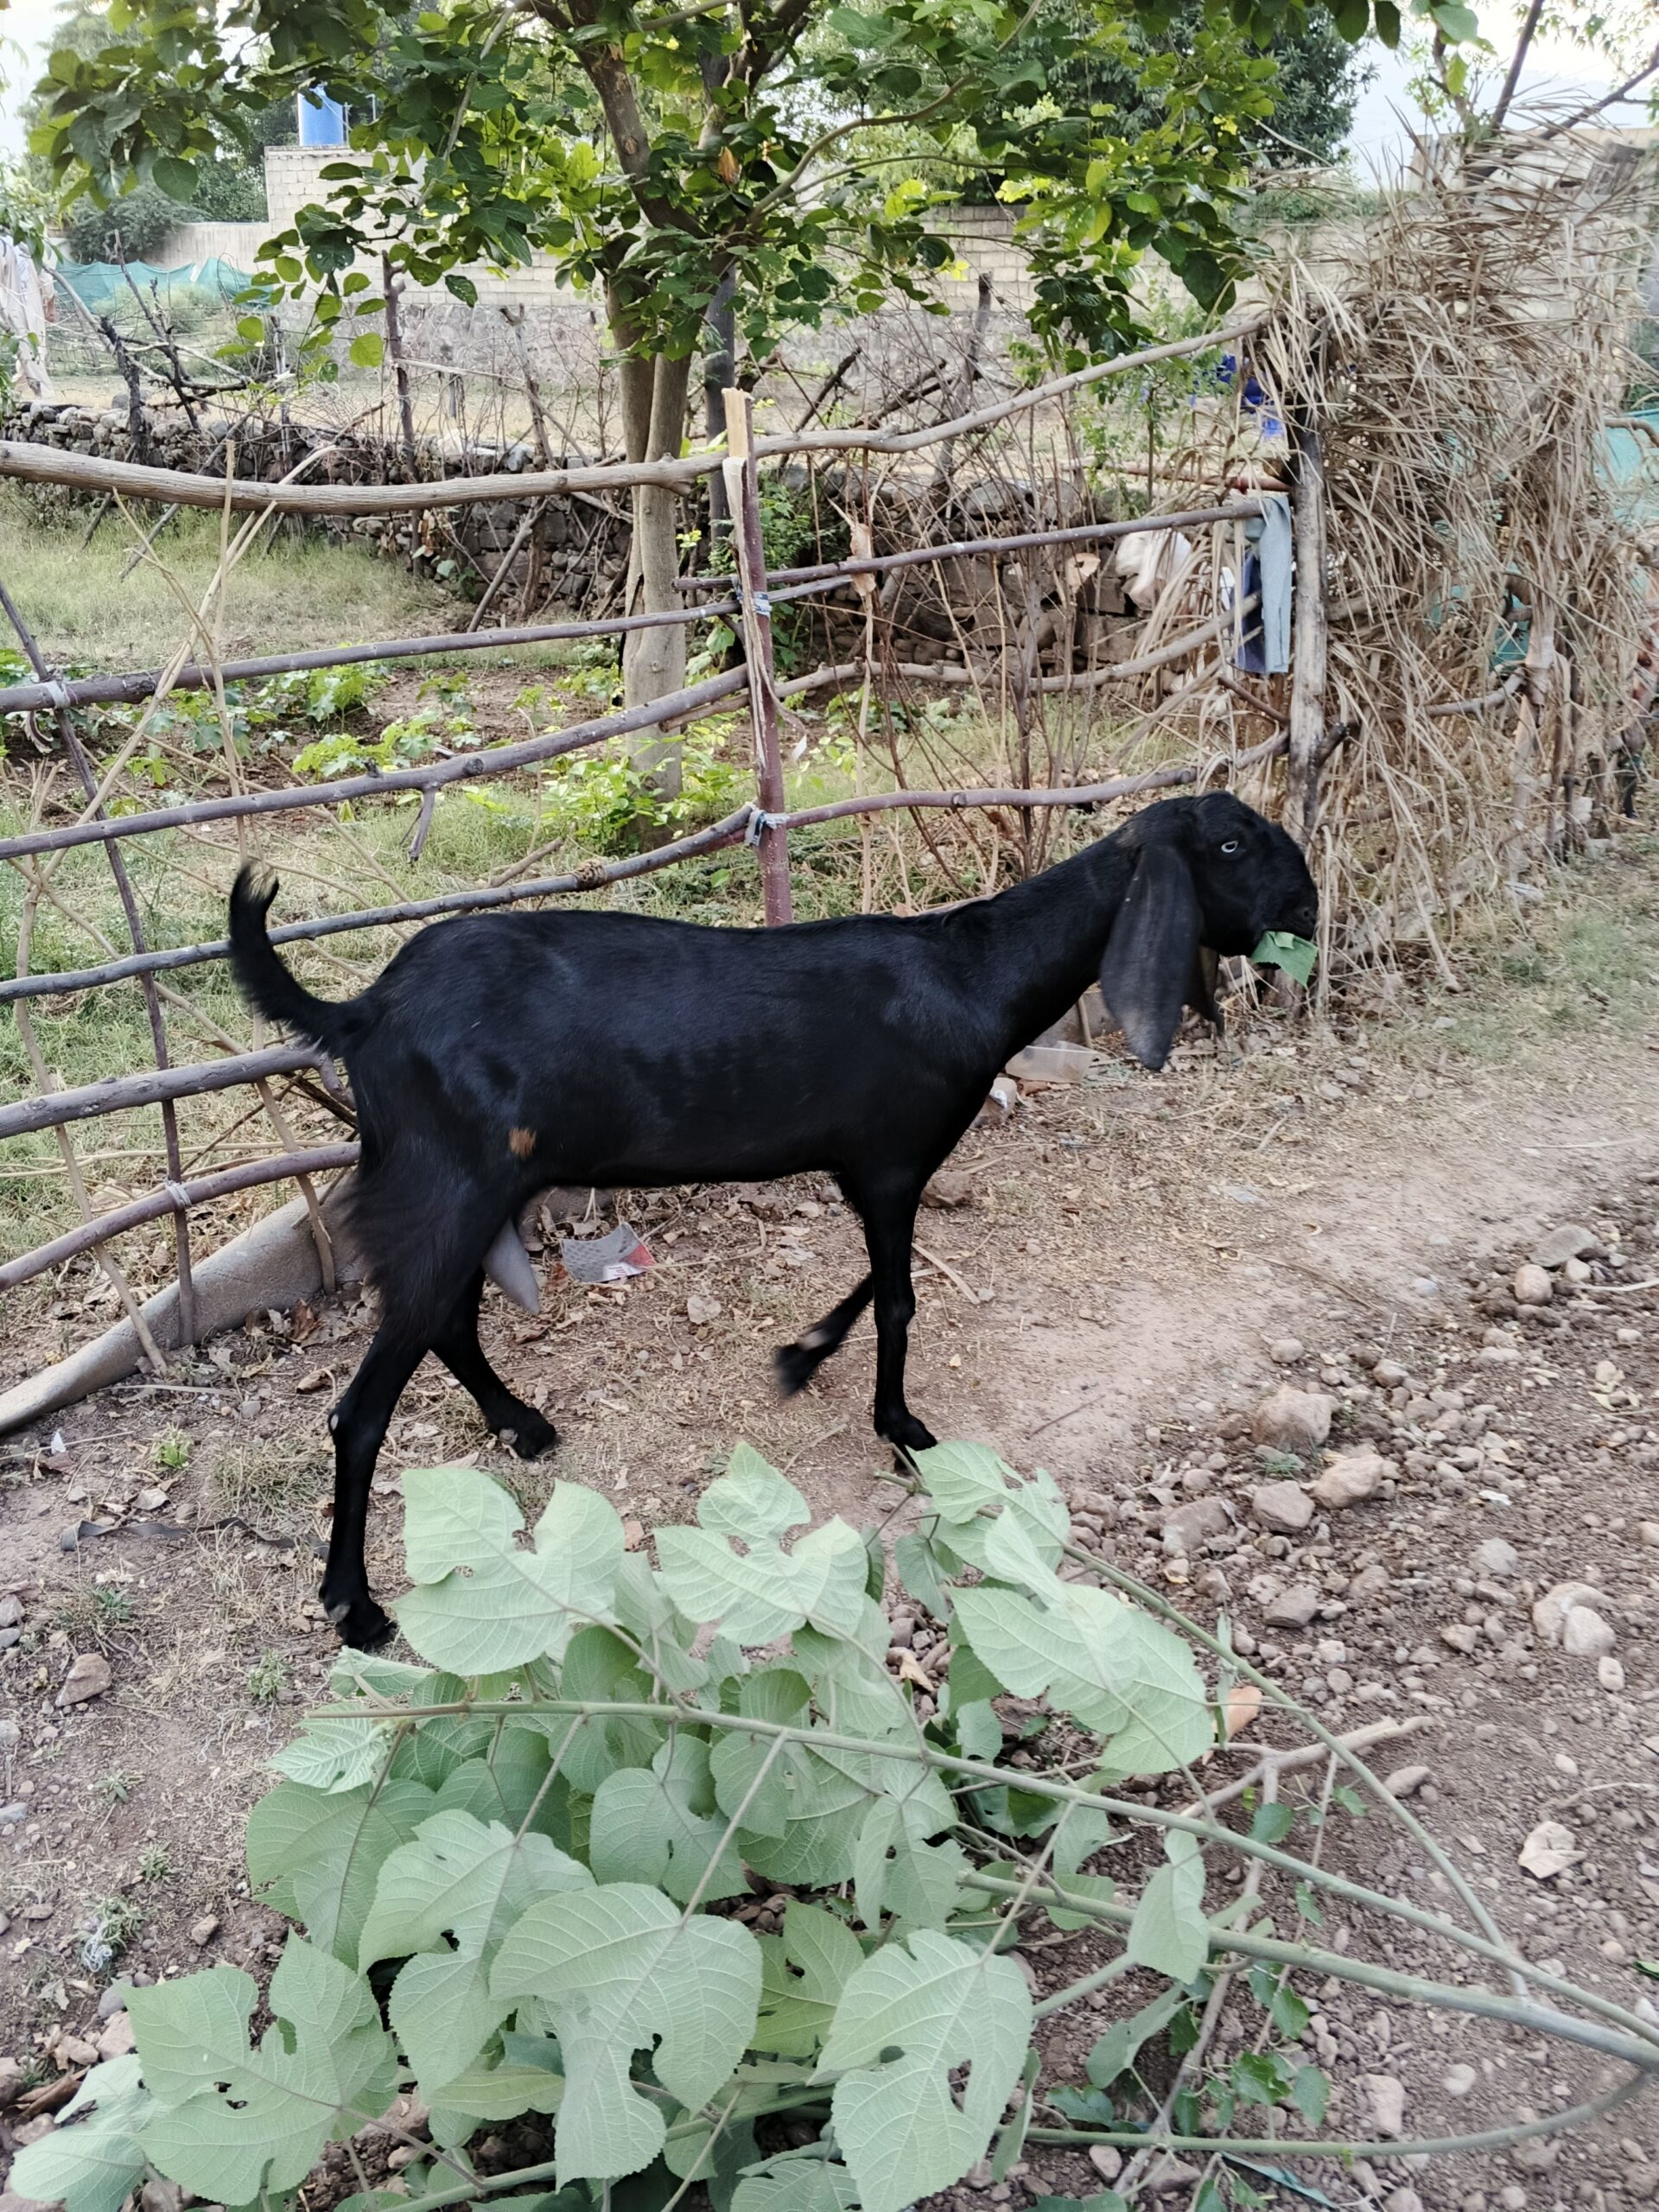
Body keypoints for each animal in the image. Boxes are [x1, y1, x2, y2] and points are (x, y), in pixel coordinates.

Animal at [229, 790, 1317, 1647]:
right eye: (1230, 844)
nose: (1309, 904)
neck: (970, 971)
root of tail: (363, 1010)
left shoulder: (869, 1164)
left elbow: (877, 1281)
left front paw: (801, 1355)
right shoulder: (895, 1161)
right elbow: (900, 1298)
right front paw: (901, 1427)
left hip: (472, 1184)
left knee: (448, 1320)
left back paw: (522, 1426)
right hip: (449, 1180)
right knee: (364, 1403)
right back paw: (354, 1605)